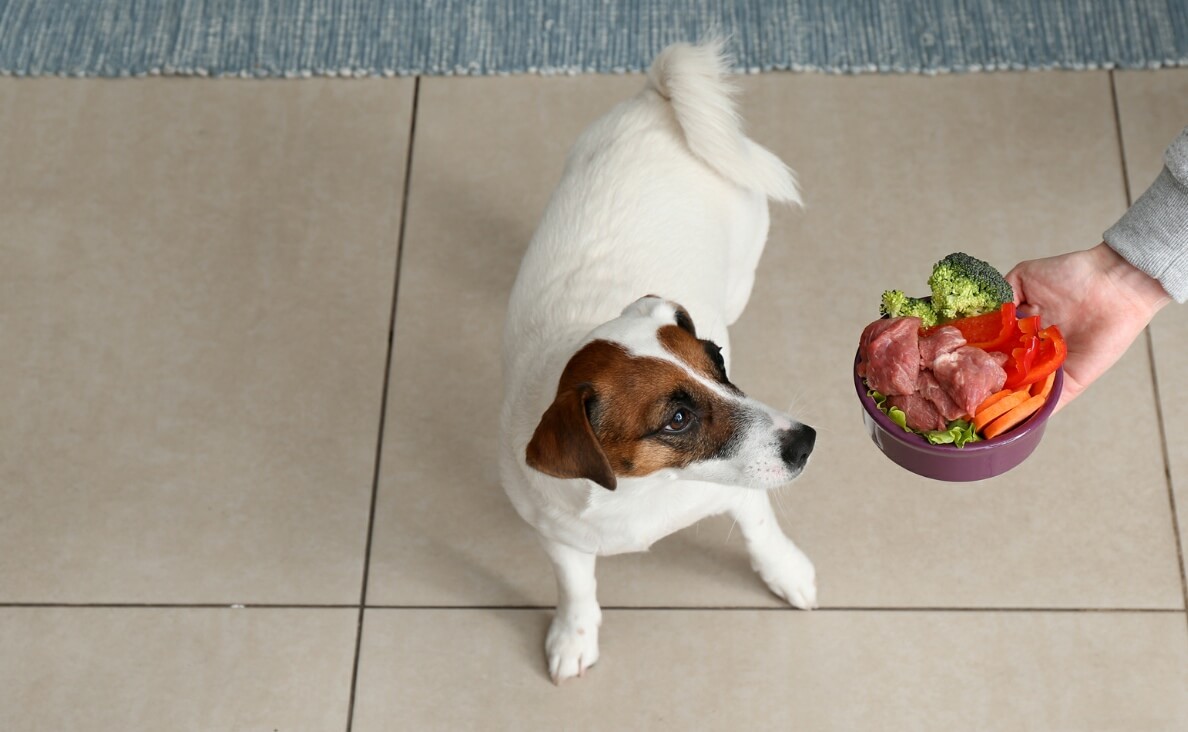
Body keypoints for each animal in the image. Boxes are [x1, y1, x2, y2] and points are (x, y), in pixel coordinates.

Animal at [498, 40, 817, 684]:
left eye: (717, 360)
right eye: (677, 418)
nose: (805, 442)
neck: (641, 492)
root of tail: (662, 99)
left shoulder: (741, 494)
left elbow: (763, 535)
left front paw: (788, 571)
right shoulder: (558, 538)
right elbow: (575, 587)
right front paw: (574, 635)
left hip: (743, 266)